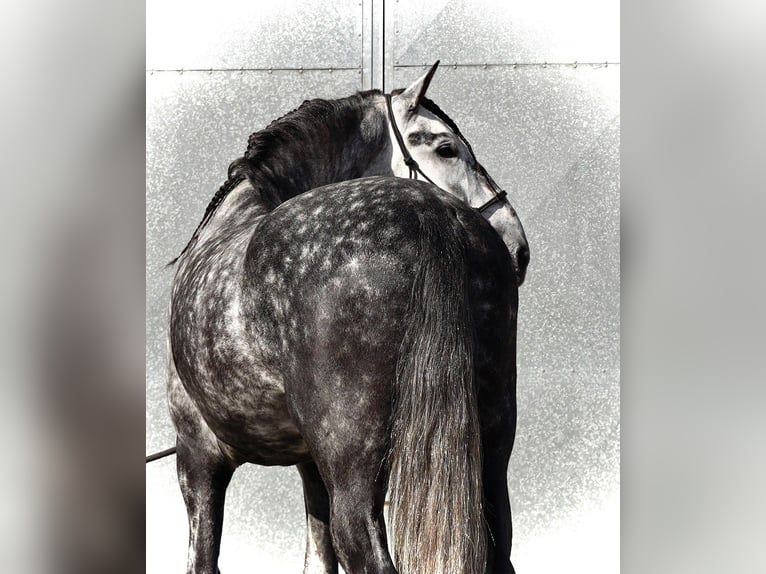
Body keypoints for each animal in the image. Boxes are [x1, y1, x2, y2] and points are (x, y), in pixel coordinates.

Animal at [166, 61, 529, 574]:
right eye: (446, 147)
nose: (520, 248)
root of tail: (430, 211)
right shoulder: (306, 462)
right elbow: (318, 558)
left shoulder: (196, 456)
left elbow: (205, 559)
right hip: (492, 451)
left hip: (352, 469)